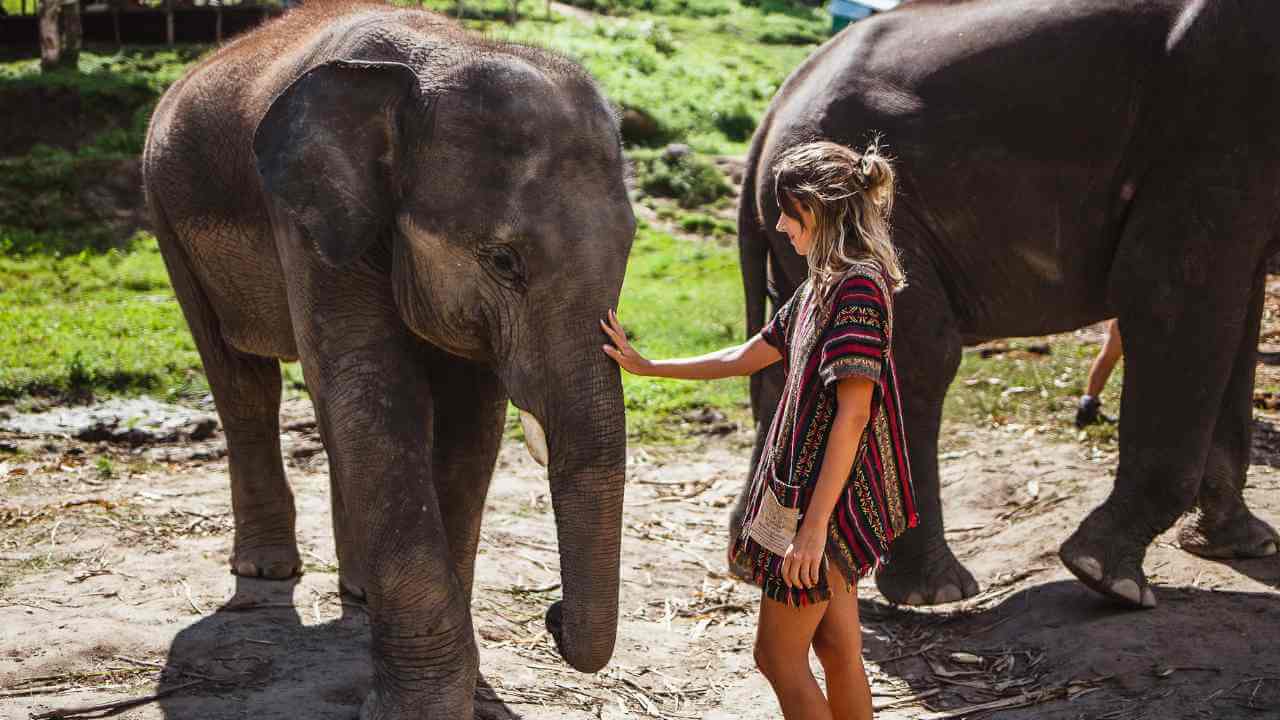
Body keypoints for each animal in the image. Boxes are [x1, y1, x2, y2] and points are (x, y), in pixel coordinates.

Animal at [142, 2, 637, 712]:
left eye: (629, 250)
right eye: (503, 261)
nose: (552, 615)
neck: (442, 54)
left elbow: (469, 423)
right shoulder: (307, 218)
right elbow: (376, 388)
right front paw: (422, 709)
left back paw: (357, 589)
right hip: (164, 214)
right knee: (243, 383)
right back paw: (266, 568)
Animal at [737, 0, 1280, 607]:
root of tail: (771, 115)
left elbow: (1237, 310)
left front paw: (1244, 546)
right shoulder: (1215, 121)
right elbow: (1173, 291)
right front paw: (1106, 577)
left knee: (791, 363)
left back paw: (759, 564)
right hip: (878, 214)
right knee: (919, 356)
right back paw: (937, 592)